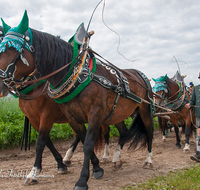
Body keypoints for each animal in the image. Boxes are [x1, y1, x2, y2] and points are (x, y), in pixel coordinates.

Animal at [0, 11, 154, 189]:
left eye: (14, 50)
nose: (1, 84)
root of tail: (140, 75)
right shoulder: (59, 117)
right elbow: (51, 141)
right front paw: (90, 167)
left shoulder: (82, 114)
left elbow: (83, 144)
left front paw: (81, 179)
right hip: (115, 114)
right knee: (123, 132)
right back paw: (113, 158)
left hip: (144, 110)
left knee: (149, 132)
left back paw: (148, 160)